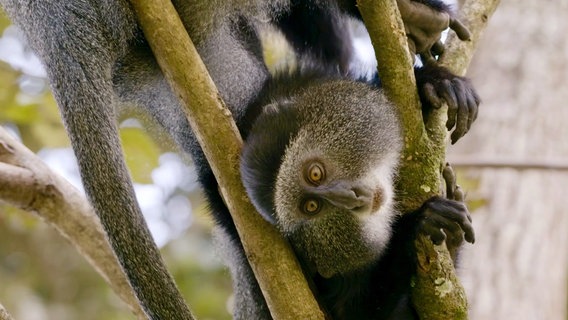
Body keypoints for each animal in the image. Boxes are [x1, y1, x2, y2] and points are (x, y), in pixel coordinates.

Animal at [0, 0, 480, 320]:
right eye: (312, 202)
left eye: (316, 171)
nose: (350, 197)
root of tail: (54, 27)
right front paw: (421, 228)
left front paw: (431, 84)